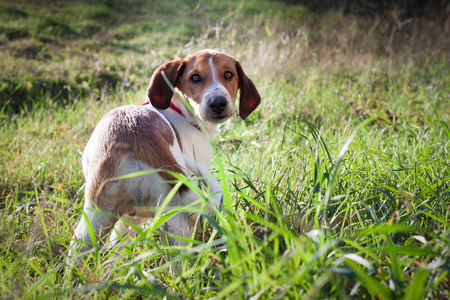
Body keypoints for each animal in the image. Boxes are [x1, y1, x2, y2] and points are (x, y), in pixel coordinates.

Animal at [68, 49, 262, 258]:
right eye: (195, 77)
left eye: (228, 74)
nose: (218, 103)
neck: (180, 110)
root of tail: (135, 138)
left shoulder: (128, 219)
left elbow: (118, 246)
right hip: (176, 219)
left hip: (94, 219)